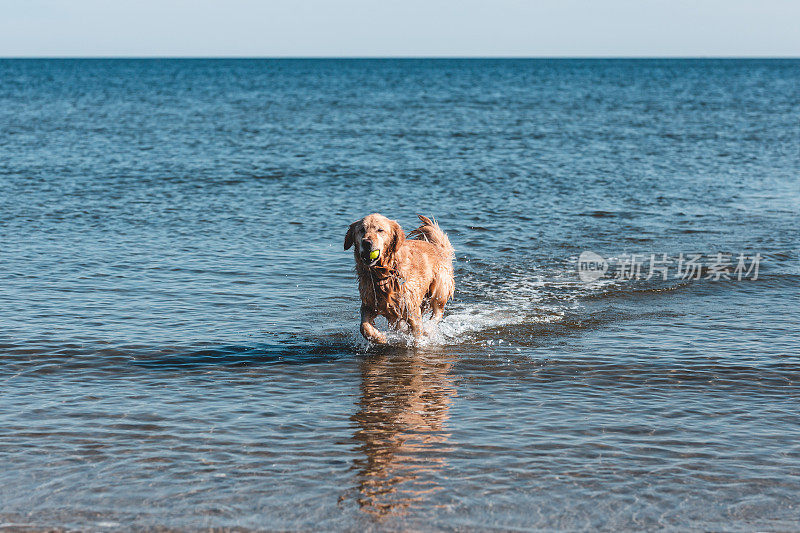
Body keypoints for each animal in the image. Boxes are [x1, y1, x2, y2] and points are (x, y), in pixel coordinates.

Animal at [346, 213, 456, 342]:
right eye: (362, 230)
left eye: (380, 230)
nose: (366, 242)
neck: (383, 274)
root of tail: (437, 247)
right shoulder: (369, 304)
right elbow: (363, 326)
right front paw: (380, 338)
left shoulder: (411, 309)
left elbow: (417, 335)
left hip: (439, 289)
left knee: (438, 312)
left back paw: (429, 328)